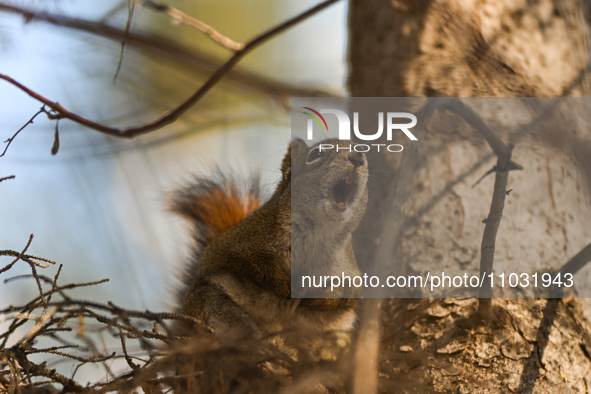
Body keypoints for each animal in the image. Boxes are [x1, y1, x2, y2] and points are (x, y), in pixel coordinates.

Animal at [169, 139, 368, 336]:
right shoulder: (248, 243)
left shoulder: (347, 269)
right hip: (212, 304)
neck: (321, 233)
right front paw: (289, 288)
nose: (358, 157)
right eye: (316, 154)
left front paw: (321, 298)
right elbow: (259, 268)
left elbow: (350, 293)